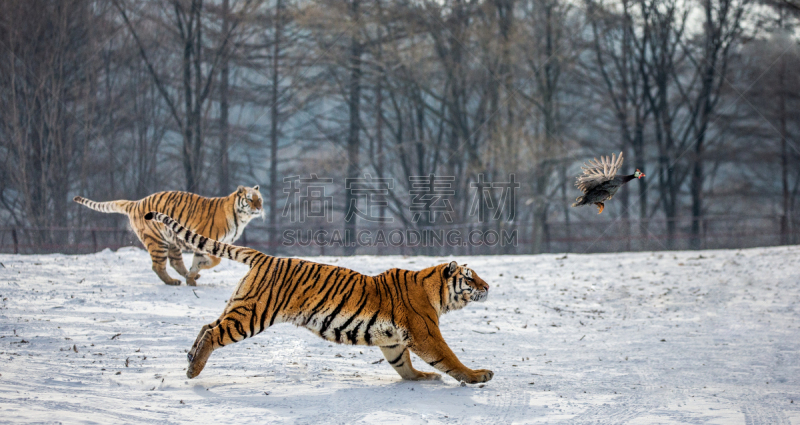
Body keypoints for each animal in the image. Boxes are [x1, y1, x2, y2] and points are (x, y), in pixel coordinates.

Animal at [73, 186, 264, 284]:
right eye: (249, 199)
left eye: (259, 199)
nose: (259, 208)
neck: (241, 218)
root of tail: (135, 203)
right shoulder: (206, 239)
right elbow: (214, 260)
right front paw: (197, 272)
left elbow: (199, 262)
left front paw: (192, 276)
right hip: (158, 242)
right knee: (158, 266)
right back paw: (172, 281)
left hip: (171, 240)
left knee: (175, 262)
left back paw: (186, 276)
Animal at [145, 210, 494, 382]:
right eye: (469, 277)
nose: (488, 286)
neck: (436, 291)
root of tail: (264, 257)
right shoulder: (425, 333)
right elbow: (448, 357)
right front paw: (477, 375)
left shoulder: (393, 340)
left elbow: (402, 365)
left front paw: (420, 378)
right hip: (252, 315)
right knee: (214, 332)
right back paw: (193, 370)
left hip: (239, 304)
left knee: (206, 325)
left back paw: (190, 358)